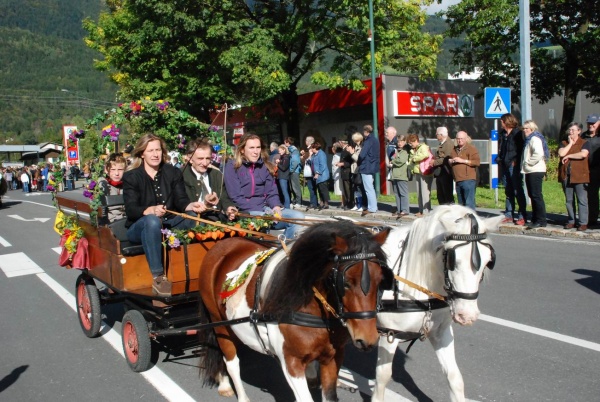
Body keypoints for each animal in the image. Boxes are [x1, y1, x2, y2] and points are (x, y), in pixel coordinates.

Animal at [199, 220, 392, 402]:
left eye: (381, 280)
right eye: (345, 282)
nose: (368, 339)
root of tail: (223, 244)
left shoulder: (333, 356)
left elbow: (329, 395)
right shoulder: (291, 361)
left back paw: (223, 382)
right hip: (219, 322)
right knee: (231, 361)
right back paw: (237, 393)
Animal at [376, 207, 502, 402]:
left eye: (489, 261)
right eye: (452, 259)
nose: (467, 316)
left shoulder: (440, 332)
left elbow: (455, 378)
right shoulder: (389, 334)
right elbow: (382, 377)